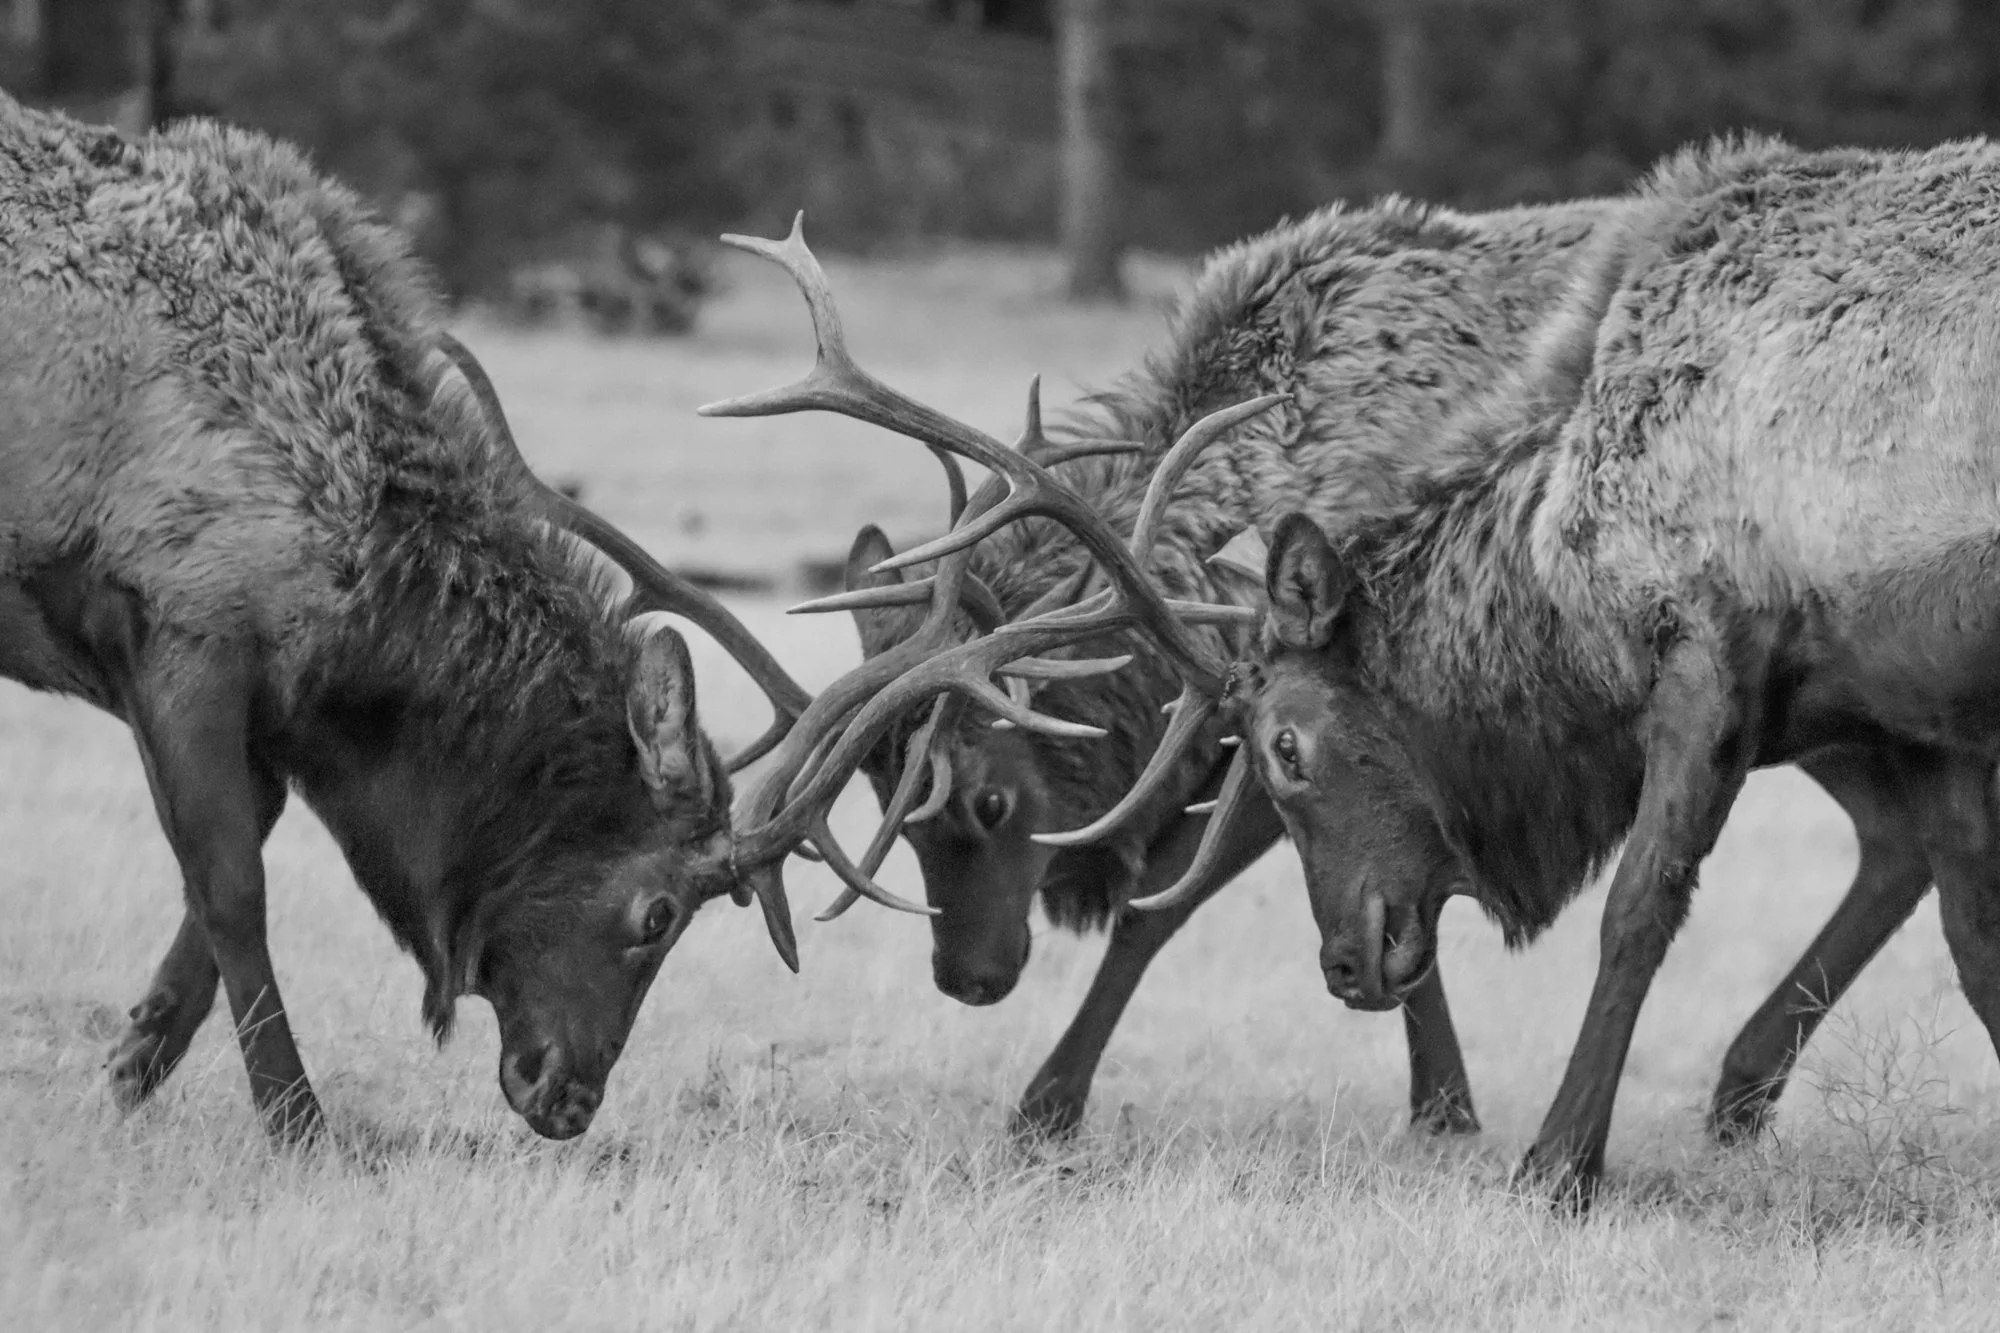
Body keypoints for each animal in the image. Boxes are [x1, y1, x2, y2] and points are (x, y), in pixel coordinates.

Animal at [734, 195, 1970, 1148]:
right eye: (885, 796)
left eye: (990, 797)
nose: (967, 976)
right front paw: (1442, 1098)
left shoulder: (1273, 707)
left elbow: (1165, 910)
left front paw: (1047, 1103)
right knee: (1898, 836)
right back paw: (1742, 1091)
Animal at [1090, 134, 2000, 1203]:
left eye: (1285, 745)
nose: (1346, 963)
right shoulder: (1920, 713)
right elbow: (1975, 938)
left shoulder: (1705, 654)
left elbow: (1636, 912)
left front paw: (1560, 1160)